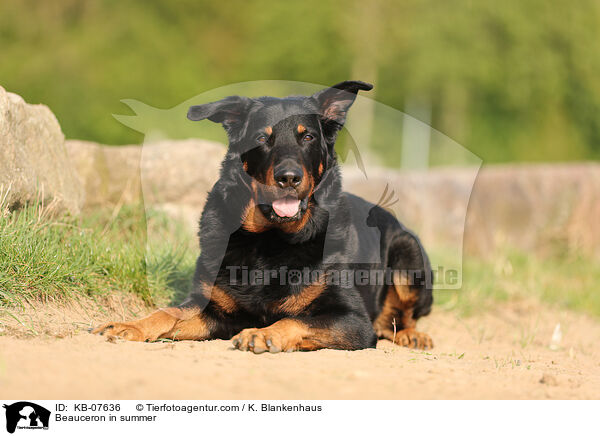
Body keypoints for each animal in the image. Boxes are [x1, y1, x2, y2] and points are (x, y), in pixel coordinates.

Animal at [91, 81, 434, 354]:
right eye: (261, 138)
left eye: (307, 137)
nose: (289, 178)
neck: (269, 238)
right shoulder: (215, 311)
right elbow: (168, 313)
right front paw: (131, 325)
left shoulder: (353, 320)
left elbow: (295, 320)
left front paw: (262, 335)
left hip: (407, 253)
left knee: (402, 318)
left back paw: (412, 336)